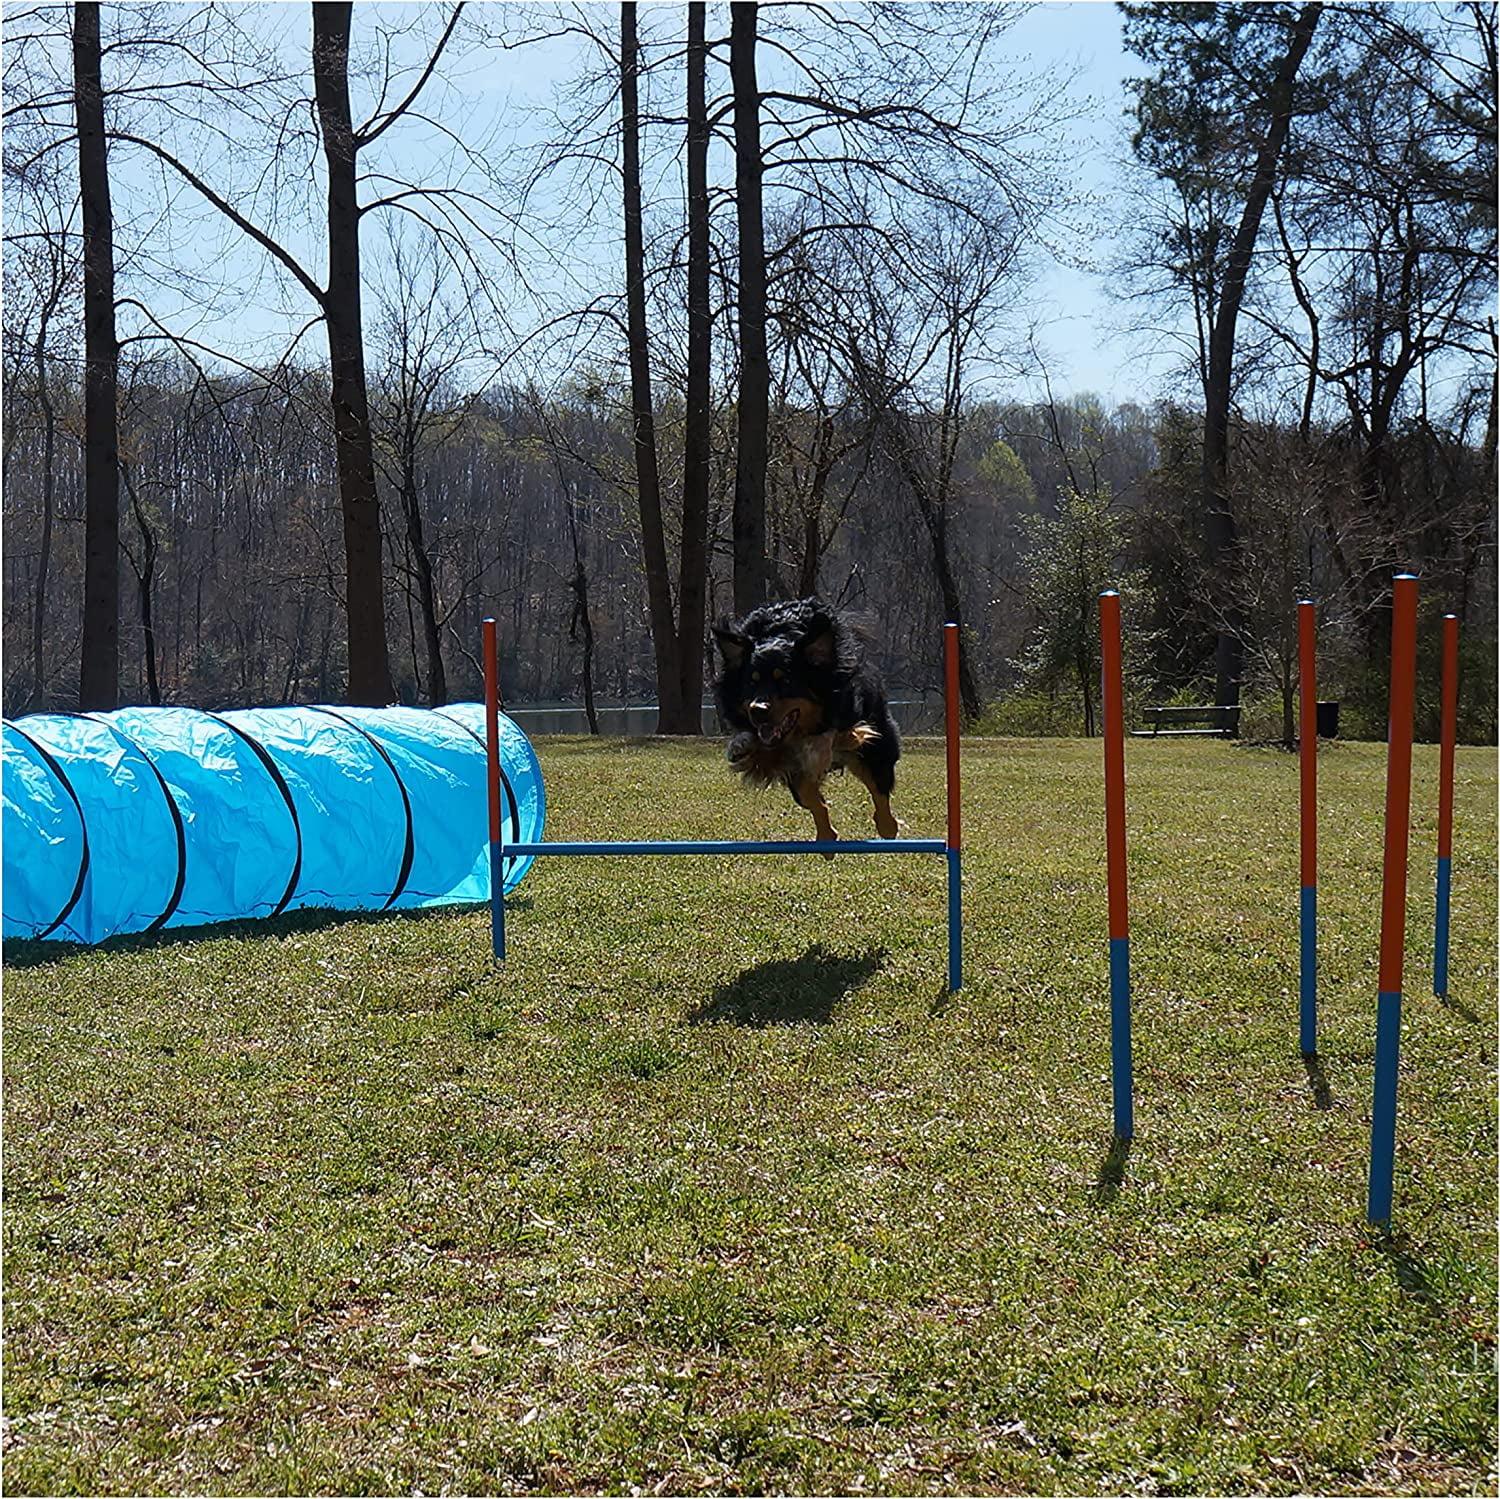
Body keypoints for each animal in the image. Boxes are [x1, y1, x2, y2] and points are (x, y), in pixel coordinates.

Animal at [714, 600, 900, 858]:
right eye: (751, 681)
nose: (757, 710)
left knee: (878, 783)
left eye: (785, 681)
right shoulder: (787, 760)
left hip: (879, 738)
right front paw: (827, 837)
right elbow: (808, 794)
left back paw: (888, 826)